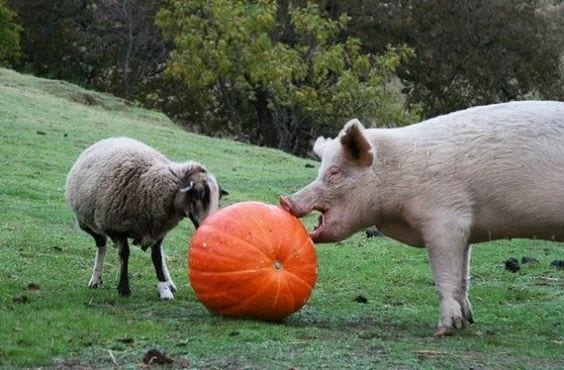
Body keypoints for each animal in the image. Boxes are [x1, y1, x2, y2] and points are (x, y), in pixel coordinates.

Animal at [64, 137, 227, 300]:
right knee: (101, 243)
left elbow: (157, 257)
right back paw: (95, 279)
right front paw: (124, 288)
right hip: (86, 222)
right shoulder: (115, 228)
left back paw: (169, 282)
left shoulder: (158, 230)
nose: (211, 226)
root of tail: (113, 138)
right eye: (198, 194)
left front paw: (164, 289)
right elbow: (125, 254)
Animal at [280, 99, 564, 336]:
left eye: (335, 173)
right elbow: (462, 275)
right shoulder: (466, 228)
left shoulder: (446, 220)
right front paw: (468, 321)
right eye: (320, 171)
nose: (285, 200)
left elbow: (444, 276)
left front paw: (443, 331)